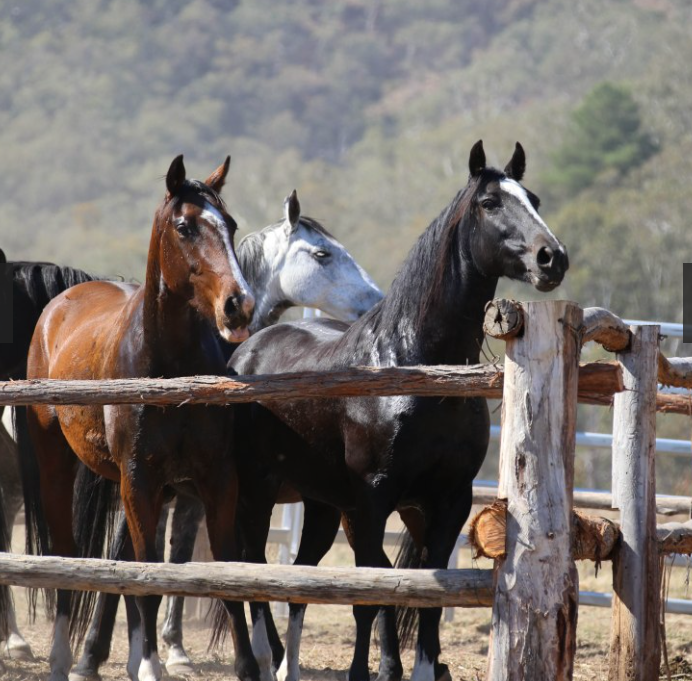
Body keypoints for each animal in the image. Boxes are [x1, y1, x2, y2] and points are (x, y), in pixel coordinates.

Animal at [19, 156, 261, 681]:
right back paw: (64, 658)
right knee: (66, 556)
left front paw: (249, 666)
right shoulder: (140, 480)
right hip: (60, 471)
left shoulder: (217, 481)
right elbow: (148, 572)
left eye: (230, 225)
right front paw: (150, 664)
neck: (170, 370)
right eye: (185, 227)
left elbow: (225, 571)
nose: (239, 304)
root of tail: (59, 305)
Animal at [228, 141, 569, 681]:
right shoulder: (371, 502)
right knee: (253, 567)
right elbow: (373, 590)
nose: (551, 258)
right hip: (259, 492)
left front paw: (424, 667)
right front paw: (372, 670)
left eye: (532, 198)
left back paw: (288, 667)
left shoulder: (446, 501)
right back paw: (263, 658)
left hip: (322, 504)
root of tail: (246, 353)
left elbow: (423, 589)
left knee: (299, 579)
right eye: (490, 202)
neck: (412, 366)